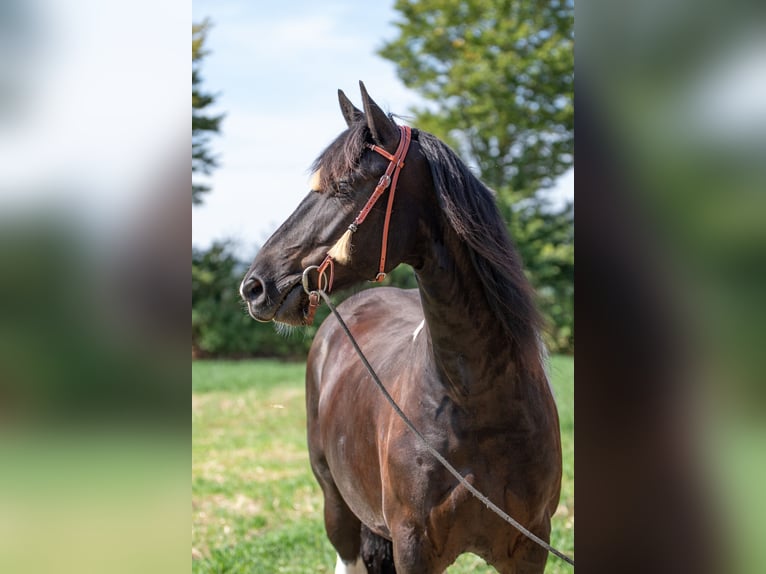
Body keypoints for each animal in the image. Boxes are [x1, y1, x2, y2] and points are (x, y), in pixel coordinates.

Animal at [240, 82, 563, 573]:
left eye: (343, 188)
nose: (255, 286)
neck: (477, 400)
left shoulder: (529, 548)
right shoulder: (413, 546)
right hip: (337, 506)